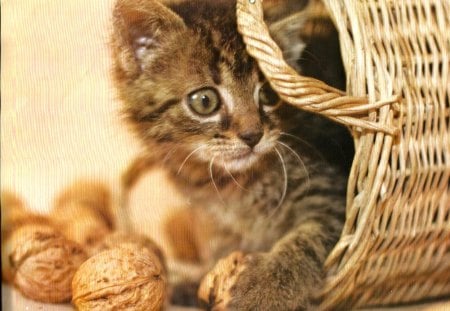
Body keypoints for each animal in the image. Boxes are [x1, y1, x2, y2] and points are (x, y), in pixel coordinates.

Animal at [110, 0, 354, 310]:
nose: (253, 135)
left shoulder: (332, 194)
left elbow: (308, 239)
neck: (234, 186)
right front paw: (195, 284)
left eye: (269, 94)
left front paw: (263, 291)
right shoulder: (219, 223)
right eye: (205, 101)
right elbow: (221, 256)